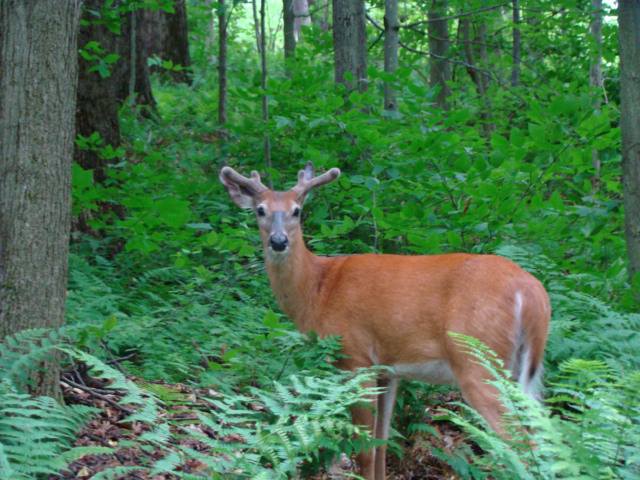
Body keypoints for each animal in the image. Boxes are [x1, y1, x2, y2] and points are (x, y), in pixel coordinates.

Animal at [219, 163, 552, 478]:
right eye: (260, 210)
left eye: (296, 211)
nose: (278, 241)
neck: (319, 290)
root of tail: (532, 292)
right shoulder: (388, 370)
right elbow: (382, 444)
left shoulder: (355, 357)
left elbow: (365, 450)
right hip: (522, 369)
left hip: (478, 360)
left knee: (525, 448)